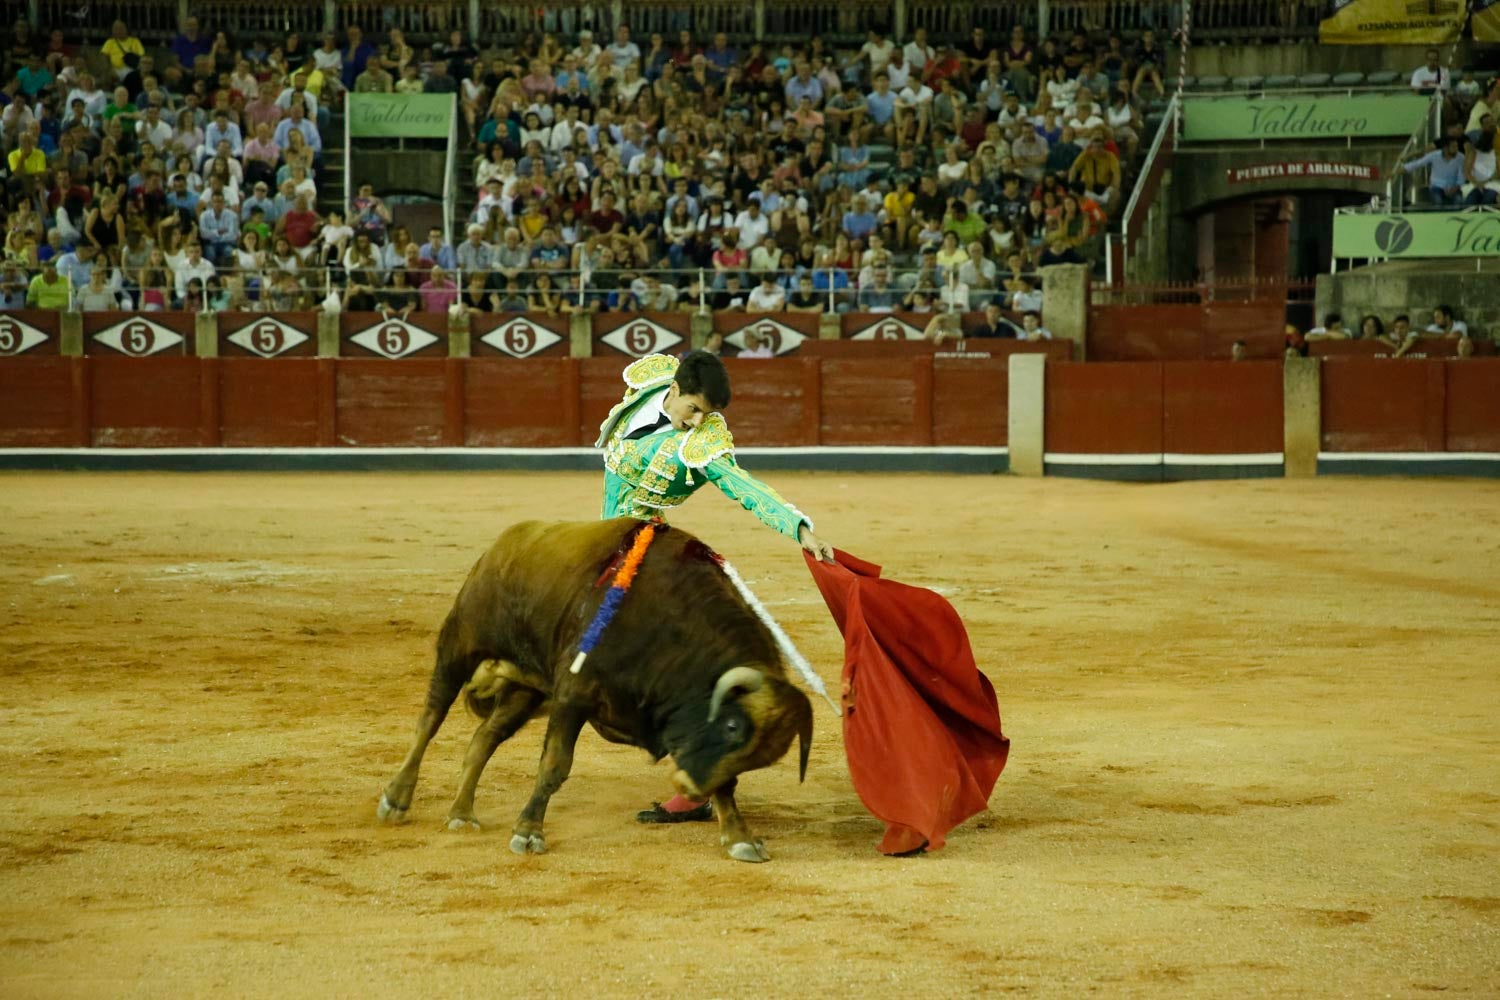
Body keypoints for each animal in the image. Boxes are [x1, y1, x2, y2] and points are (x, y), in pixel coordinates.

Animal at [381, 515, 816, 863]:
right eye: (731, 727)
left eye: (761, 756)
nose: (689, 788)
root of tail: (502, 545)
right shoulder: (573, 695)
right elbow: (555, 765)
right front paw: (528, 832)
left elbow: (724, 782)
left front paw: (742, 839)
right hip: (458, 648)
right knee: (429, 721)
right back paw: (396, 799)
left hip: (527, 689)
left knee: (482, 739)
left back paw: (461, 814)